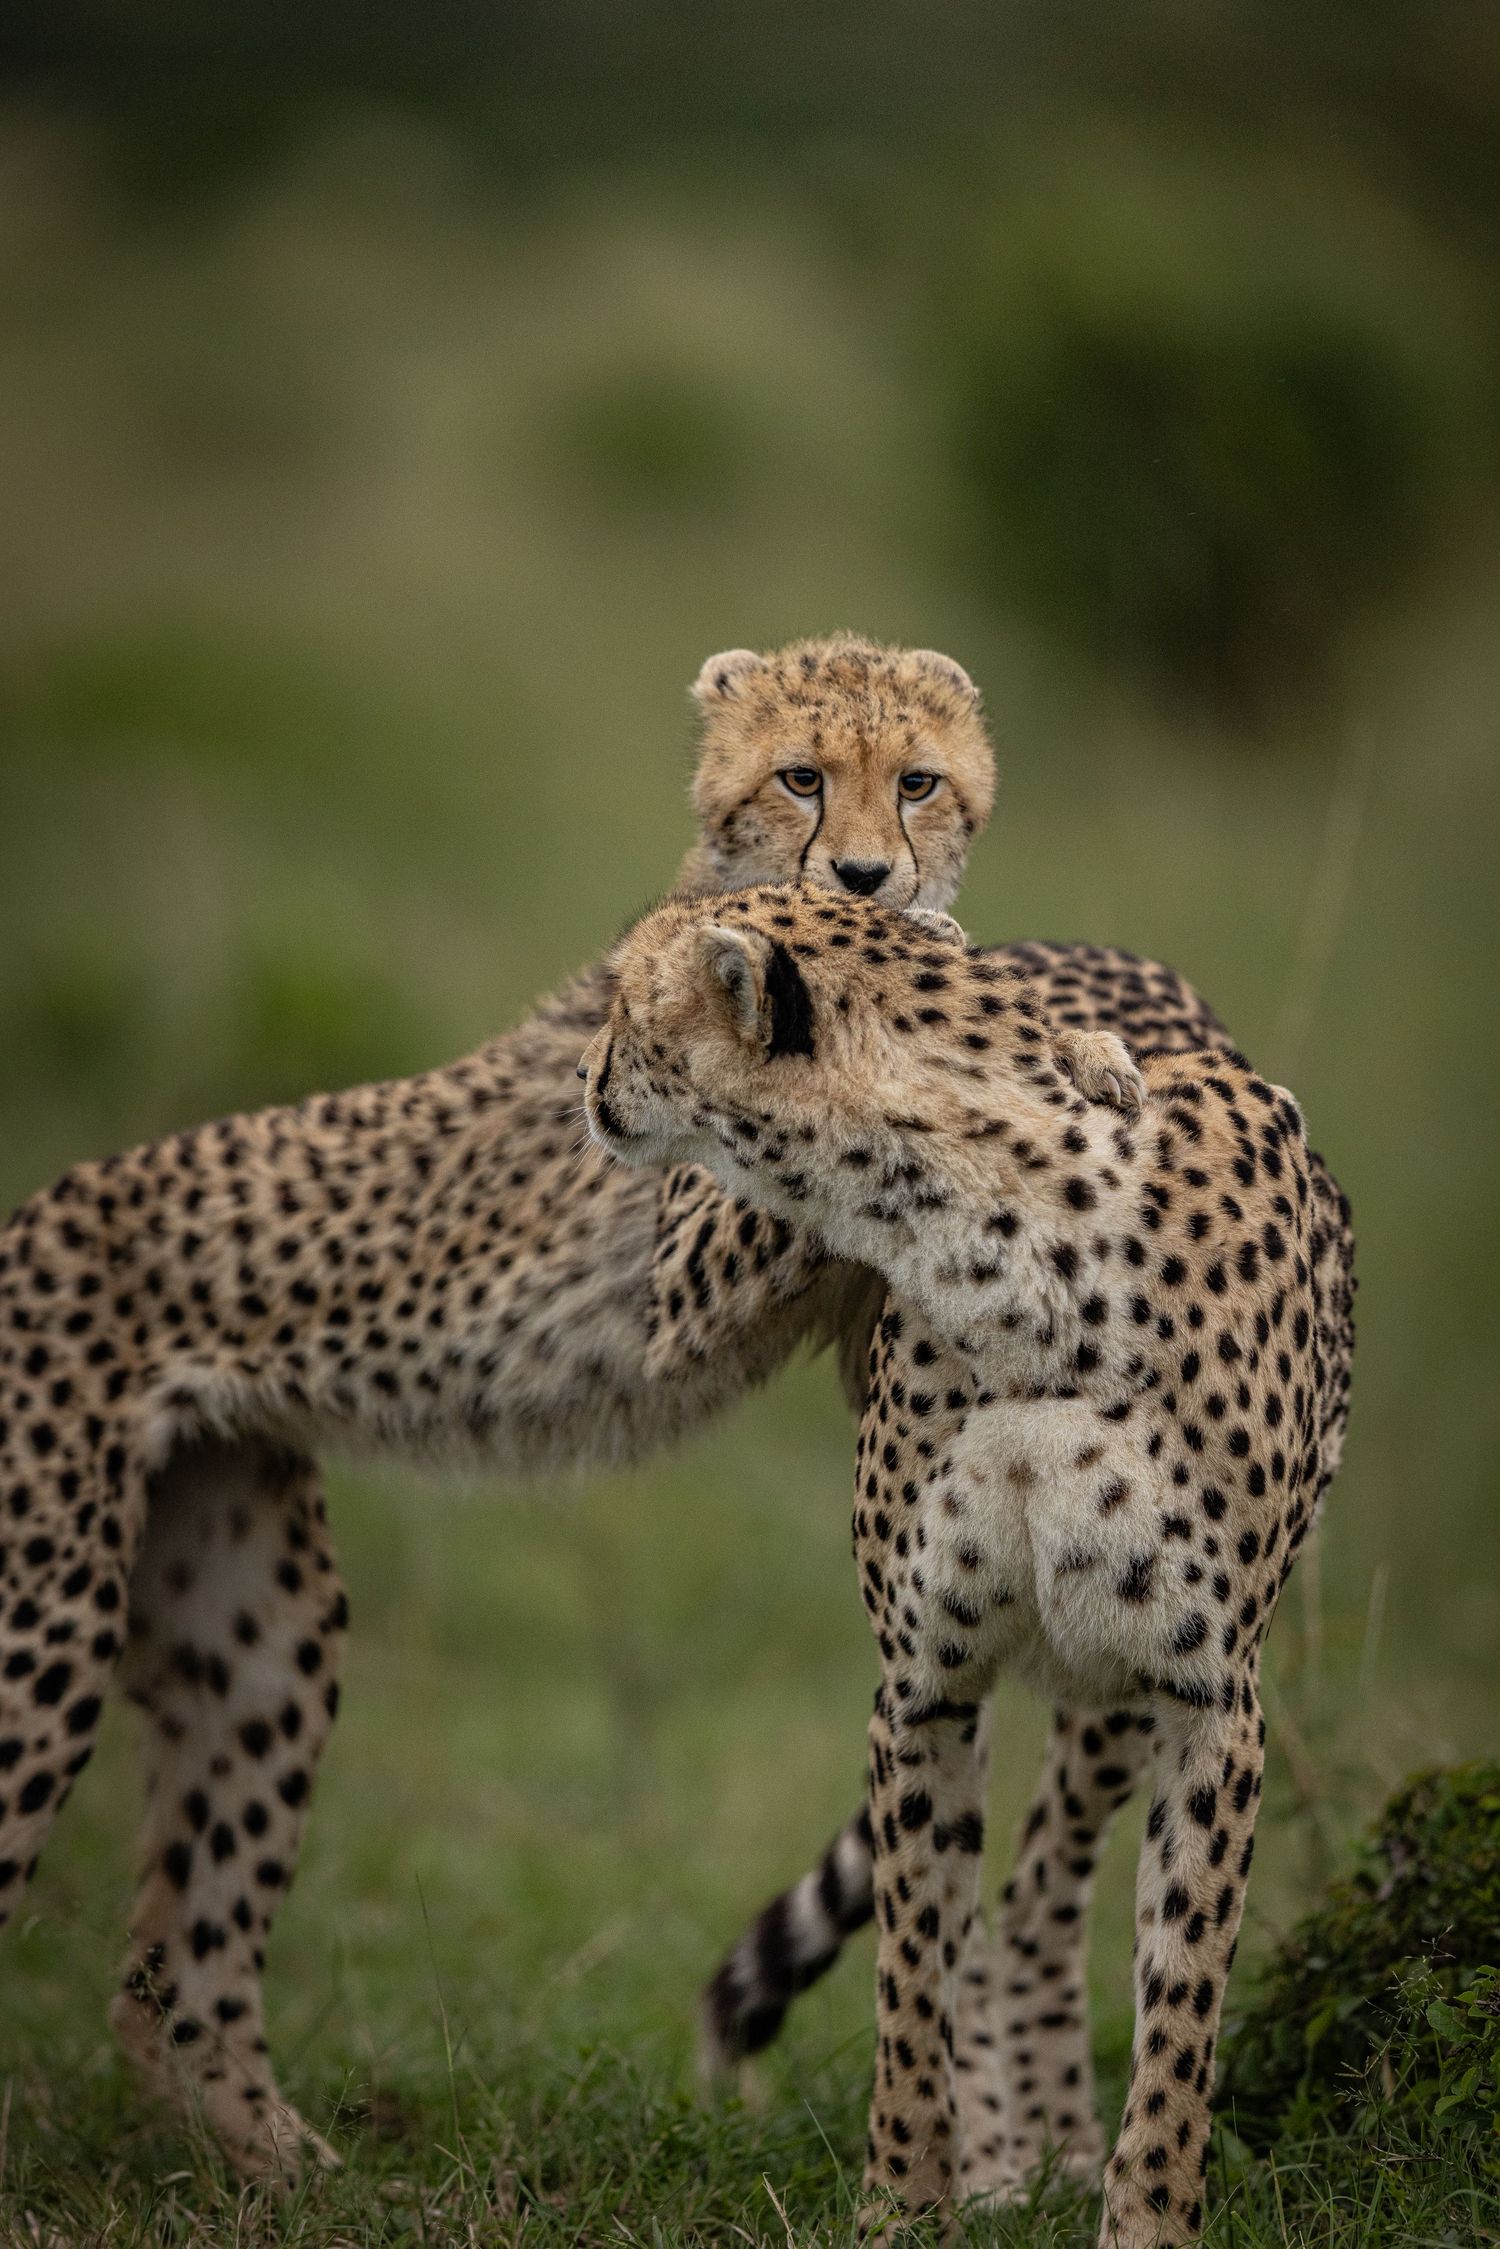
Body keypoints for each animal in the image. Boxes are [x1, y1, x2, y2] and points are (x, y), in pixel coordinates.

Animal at [584, 882, 1355, 2247]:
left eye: (630, 998)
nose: (586, 1075)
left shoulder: (1211, 1698)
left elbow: (1183, 2003)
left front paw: (1146, 2215)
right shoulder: (924, 1683)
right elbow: (910, 1979)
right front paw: (907, 2202)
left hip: (1111, 1691)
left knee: (1043, 1892)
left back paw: (1051, 2139)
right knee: (991, 1909)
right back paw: (1003, 2156)